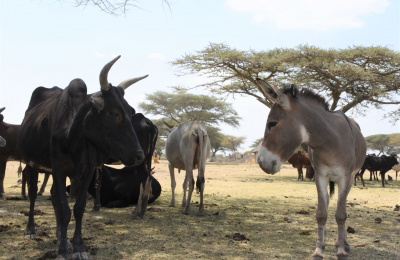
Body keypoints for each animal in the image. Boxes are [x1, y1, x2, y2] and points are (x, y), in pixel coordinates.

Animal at [16, 55, 147, 258]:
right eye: (114, 113)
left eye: (129, 112)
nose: (139, 155)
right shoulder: (58, 168)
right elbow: (64, 209)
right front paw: (62, 252)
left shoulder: (88, 170)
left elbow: (78, 208)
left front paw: (77, 247)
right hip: (31, 164)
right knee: (32, 194)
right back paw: (31, 230)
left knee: (54, 196)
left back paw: (61, 235)